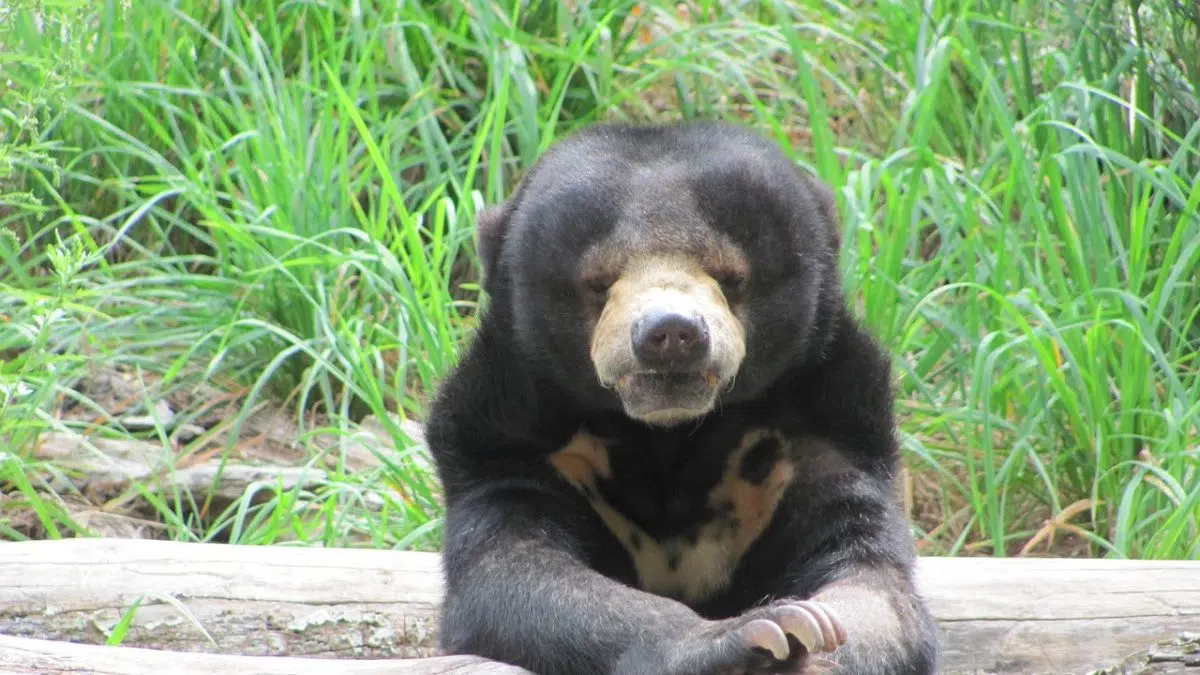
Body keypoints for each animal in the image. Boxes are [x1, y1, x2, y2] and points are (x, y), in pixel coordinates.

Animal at [423, 119, 940, 675]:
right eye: (598, 282)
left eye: (730, 277)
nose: (671, 333)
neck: (668, 436)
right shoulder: (508, 439)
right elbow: (514, 576)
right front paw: (753, 638)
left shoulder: (822, 432)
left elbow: (872, 580)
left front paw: (809, 637)